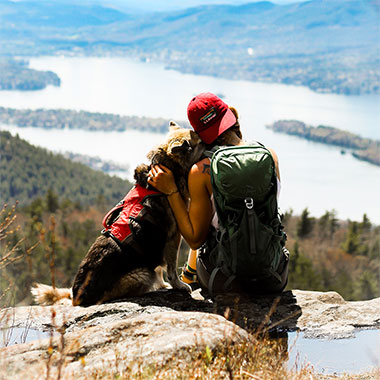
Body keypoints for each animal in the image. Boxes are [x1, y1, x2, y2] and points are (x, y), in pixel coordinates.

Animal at [30, 121, 205, 306]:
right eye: (200, 142)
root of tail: (76, 295)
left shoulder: (156, 243)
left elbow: (157, 266)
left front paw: (162, 284)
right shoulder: (173, 237)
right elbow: (170, 268)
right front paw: (178, 285)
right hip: (142, 274)